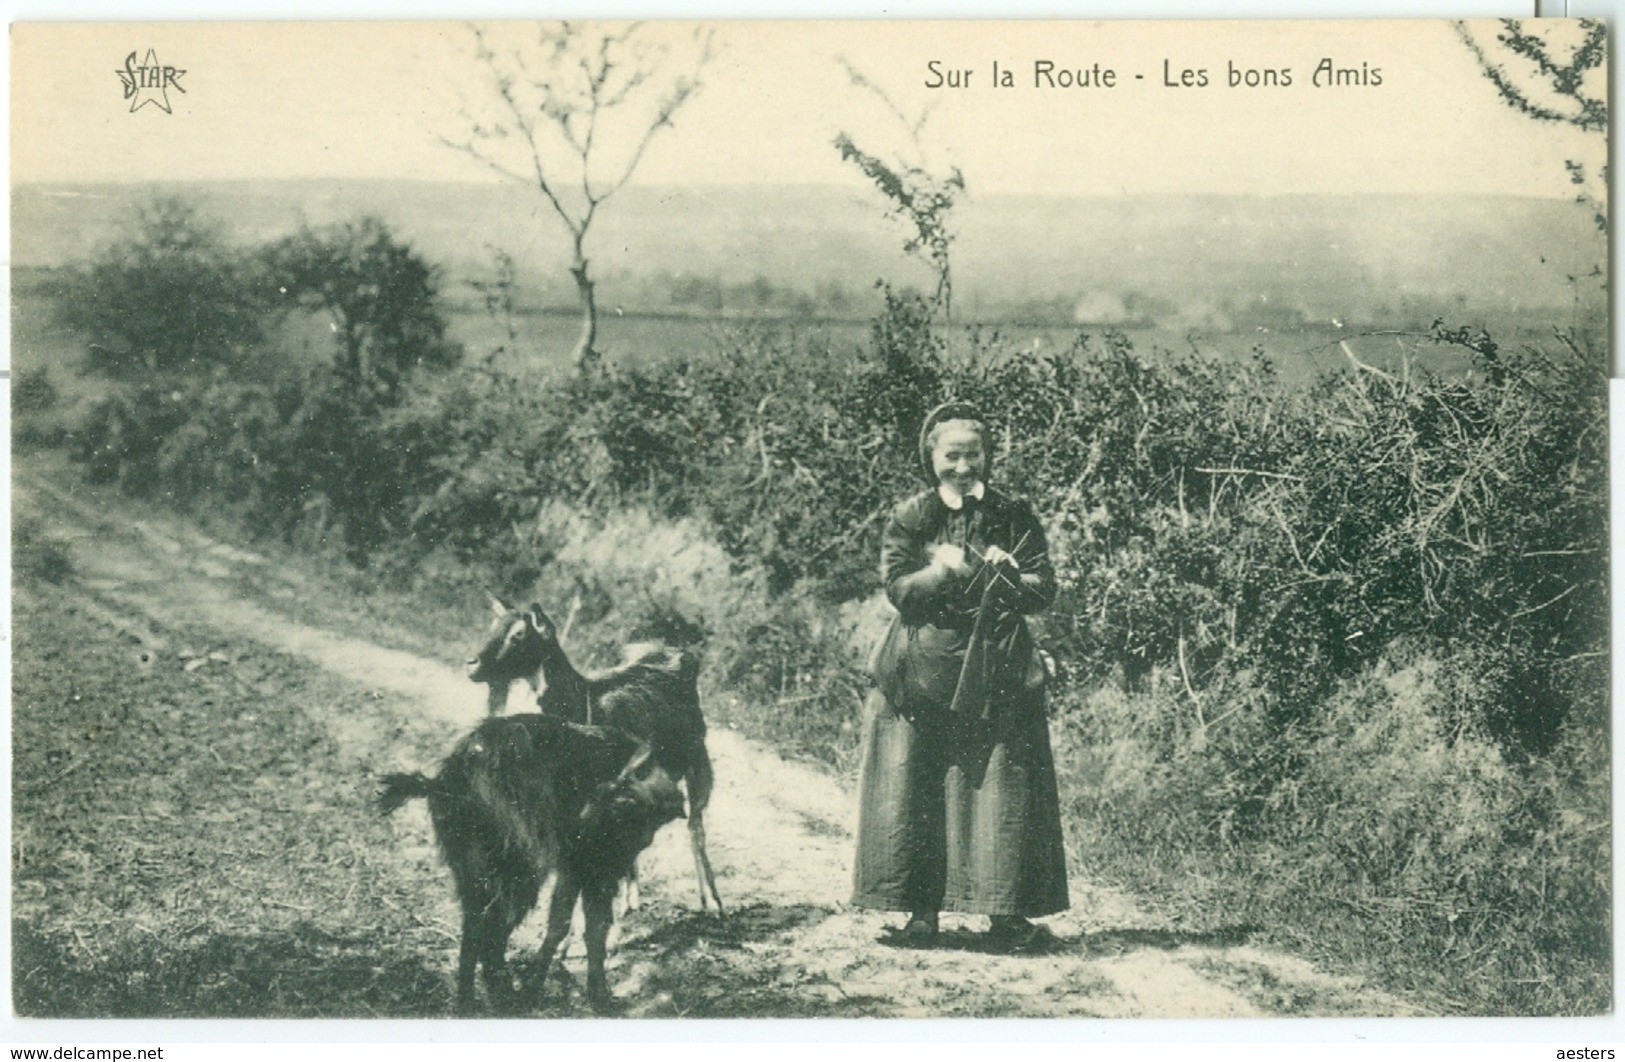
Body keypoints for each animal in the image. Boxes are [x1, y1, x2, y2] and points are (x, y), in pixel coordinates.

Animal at [377, 714, 682, 1013]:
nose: (584, 818)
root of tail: (449, 779)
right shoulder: (587, 864)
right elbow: (574, 924)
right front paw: (549, 989)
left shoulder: (589, 867)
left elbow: (583, 923)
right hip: (518, 870)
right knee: (493, 925)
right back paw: (501, 996)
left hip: (477, 867)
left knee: (479, 924)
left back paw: (476, 999)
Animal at [471, 594, 724, 922]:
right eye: (493, 626)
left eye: (518, 635)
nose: (473, 665)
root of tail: (676, 655)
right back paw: (631, 899)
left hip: (698, 761)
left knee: (696, 827)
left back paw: (713, 903)